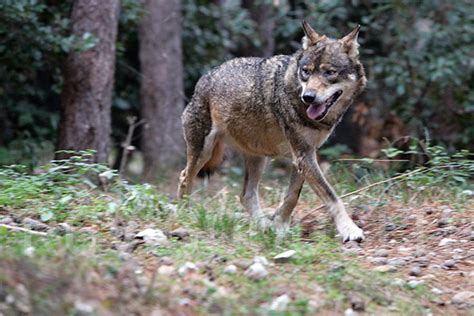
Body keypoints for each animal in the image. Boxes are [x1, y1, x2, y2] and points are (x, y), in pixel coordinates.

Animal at [178, 21, 366, 242]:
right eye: (306, 72)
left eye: (329, 72)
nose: (308, 97)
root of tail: (205, 77)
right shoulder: (303, 155)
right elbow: (331, 196)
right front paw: (350, 229)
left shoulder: (303, 156)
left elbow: (292, 196)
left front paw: (279, 226)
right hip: (204, 152)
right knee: (184, 177)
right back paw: (184, 215)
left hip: (258, 158)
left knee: (246, 196)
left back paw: (263, 226)